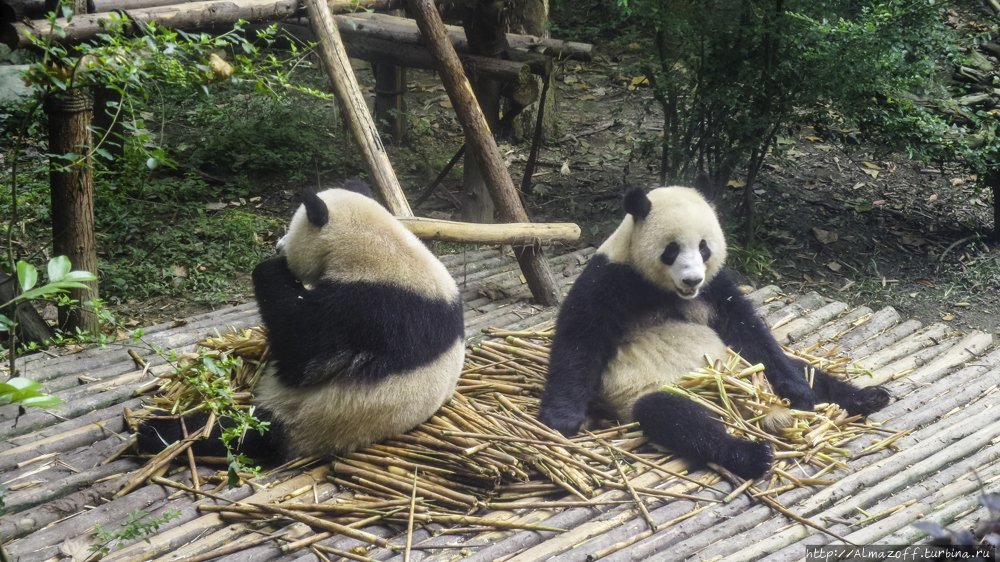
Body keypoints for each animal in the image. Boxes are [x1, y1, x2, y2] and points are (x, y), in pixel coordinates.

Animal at [139, 184, 466, 460]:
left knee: (239, 430)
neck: (381, 245)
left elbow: (303, 352)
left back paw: (157, 431)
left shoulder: (369, 308)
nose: (277, 246)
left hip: (307, 415)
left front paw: (269, 268)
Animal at [540, 186, 892, 480]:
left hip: (745, 366)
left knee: (799, 368)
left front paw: (802, 394)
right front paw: (561, 420)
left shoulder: (716, 288)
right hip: (656, 390)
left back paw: (867, 397)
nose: (692, 279)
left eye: (704, 248)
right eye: (672, 249)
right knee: (674, 417)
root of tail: (741, 409)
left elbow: (746, 327)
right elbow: (580, 337)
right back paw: (752, 455)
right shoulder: (610, 278)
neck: (665, 289)